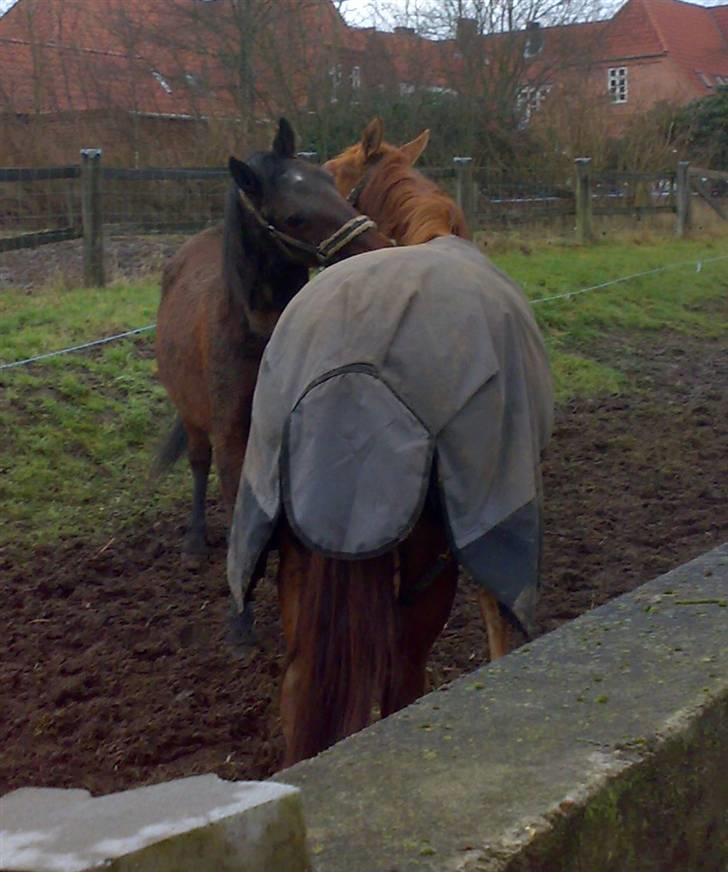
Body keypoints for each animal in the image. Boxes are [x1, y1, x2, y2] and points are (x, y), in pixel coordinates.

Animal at [156, 119, 390, 560]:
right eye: (293, 217)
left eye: (329, 181)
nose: (380, 249)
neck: (257, 335)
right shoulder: (231, 440)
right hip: (191, 414)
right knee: (197, 460)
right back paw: (194, 541)